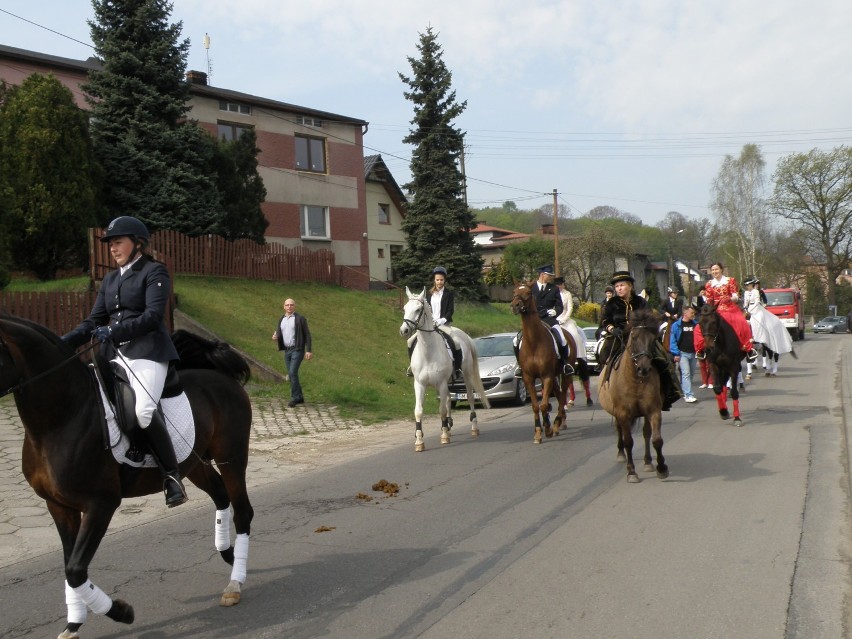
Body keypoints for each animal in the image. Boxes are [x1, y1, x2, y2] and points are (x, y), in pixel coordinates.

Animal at [0, 316, 253, 639]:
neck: (61, 419)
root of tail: (221, 377)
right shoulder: (58, 505)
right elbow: (70, 566)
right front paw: (73, 624)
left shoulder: (101, 504)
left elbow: (76, 569)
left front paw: (121, 612)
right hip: (193, 462)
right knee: (220, 495)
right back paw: (227, 553)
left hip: (232, 457)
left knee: (243, 512)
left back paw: (235, 582)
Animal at [402, 288, 492, 452]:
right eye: (405, 308)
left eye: (418, 310)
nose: (404, 330)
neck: (428, 351)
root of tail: (465, 336)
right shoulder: (419, 384)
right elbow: (418, 411)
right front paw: (419, 440)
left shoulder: (441, 383)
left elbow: (442, 410)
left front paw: (444, 435)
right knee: (449, 399)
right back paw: (449, 426)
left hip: (466, 374)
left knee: (470, 397)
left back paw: (473, 427)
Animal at [510, 284, 568, 444]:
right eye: (514, 292)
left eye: (528, 293)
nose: (515, 305)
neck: (534, 342)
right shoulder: (528, 378)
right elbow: (536, 406)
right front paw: (538, 432)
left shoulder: (546, 376)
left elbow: (543, 404)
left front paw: (547, 429)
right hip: (554, 377)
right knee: (558, 395)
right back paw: (557, 422)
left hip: (564, 375)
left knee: (562, 396)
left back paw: (557, 423)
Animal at [596, 310, 668, 484]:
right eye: (634, 337)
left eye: (654, 338)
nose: (644, 368)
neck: (635, 380)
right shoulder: (622, 413)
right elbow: (628, 442)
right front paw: (631, 472)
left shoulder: (653, 410)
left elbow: (656, 439)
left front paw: (661, 468)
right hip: (617, 413)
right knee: (619, 431)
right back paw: (621, 454)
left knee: (646, 433)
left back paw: (648, 462)